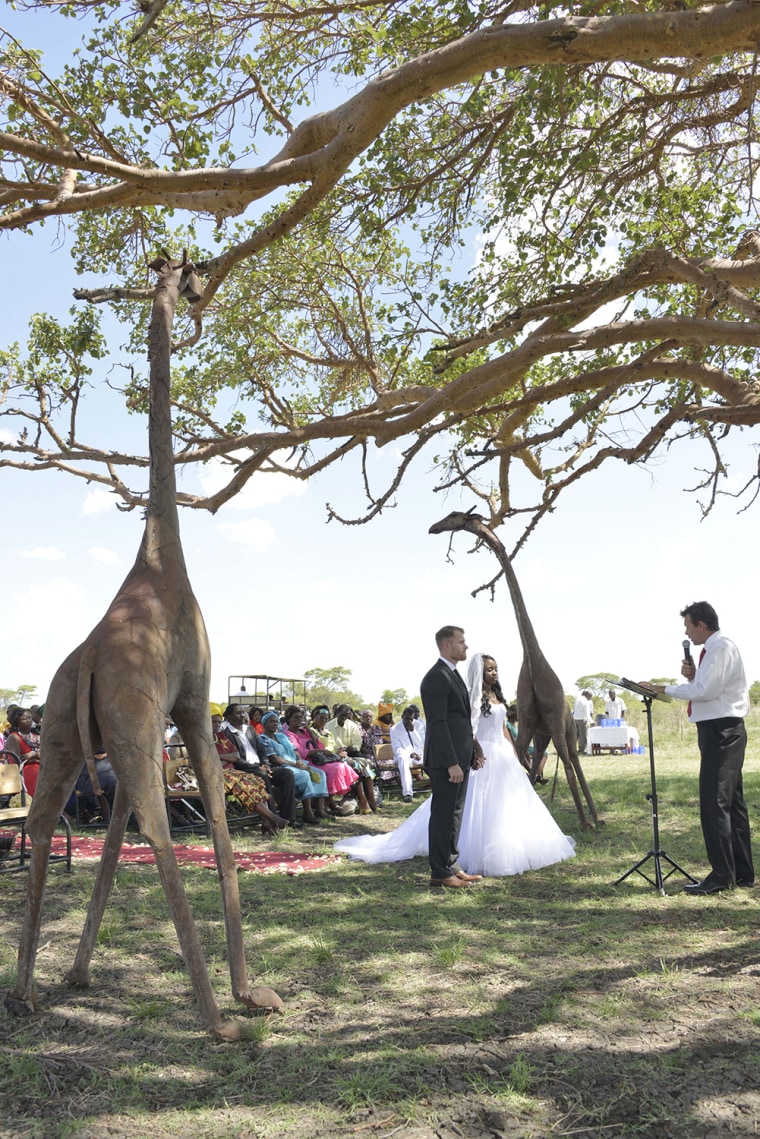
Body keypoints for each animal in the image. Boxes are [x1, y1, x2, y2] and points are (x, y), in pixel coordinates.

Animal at [4, 258, 283, 1043]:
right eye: (186, 275)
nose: (198, 293)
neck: (162, 560)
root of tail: (91, 662)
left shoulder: (141, 732)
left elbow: (108, 835)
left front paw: (77, 972)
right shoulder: (191, 705)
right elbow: (217, 826)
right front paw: (249, 993)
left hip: (66, 732)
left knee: (45, 822)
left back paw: (27, 992)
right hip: (121, 728)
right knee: (159, 833)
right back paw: (218, 1022)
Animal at [428, 510, 601, 829]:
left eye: (454, 516)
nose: (433, 527)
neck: (533, 663)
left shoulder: (554, 722)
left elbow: (567, 769)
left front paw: (585, 824)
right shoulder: (529, 723)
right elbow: (523, 765)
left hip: (566, 730)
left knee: (573, 761)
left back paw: (595, 819)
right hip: (545, 734)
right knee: (546, 764)